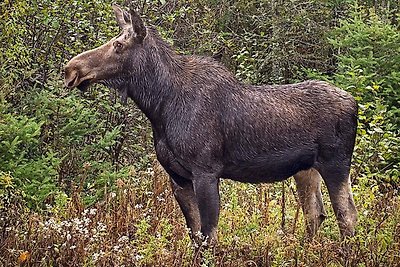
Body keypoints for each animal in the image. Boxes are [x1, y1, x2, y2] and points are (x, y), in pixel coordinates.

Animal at [64, 5, 358, 246]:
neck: (159, 106)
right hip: (305, 169)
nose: (71, 69)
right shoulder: (178, 177)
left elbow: (208, 237)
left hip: (336, 163)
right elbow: (195, 236)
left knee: (347, 216)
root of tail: (355, 103)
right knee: (316, 214)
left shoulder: (205, 171)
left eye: (118, 45)